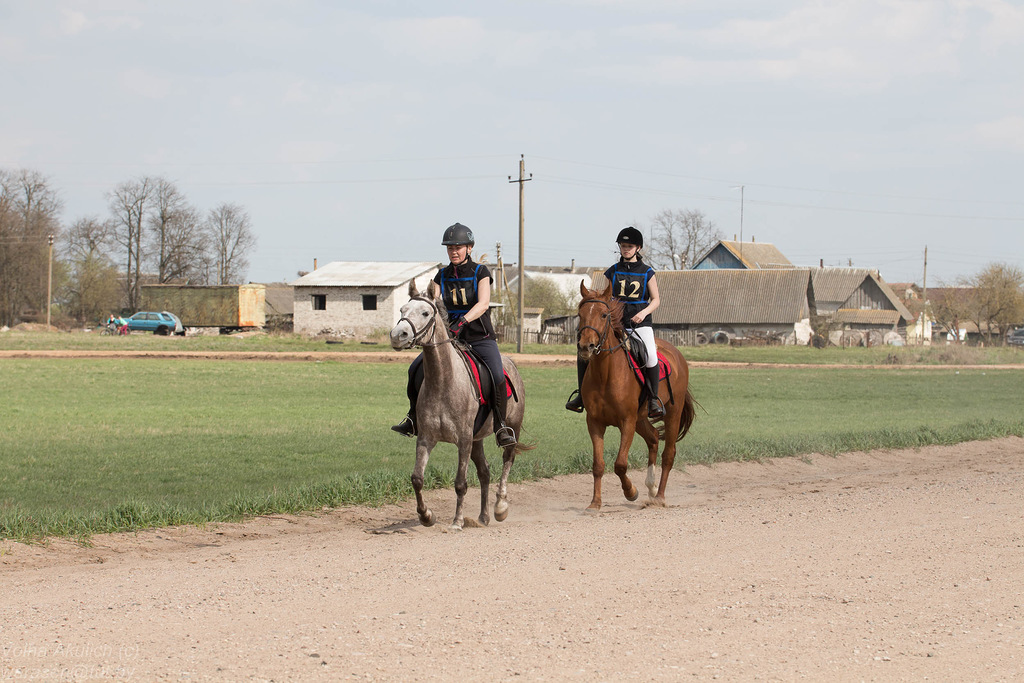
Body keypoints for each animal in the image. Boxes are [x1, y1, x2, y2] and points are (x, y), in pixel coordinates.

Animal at [385, 280, 528, 532]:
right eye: (402, 310)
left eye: (426, 313)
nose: (397, 335)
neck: (444, 380)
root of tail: (511, 363)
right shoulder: (427, 438)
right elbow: (417, 478)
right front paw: (426, 516)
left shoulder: (463, 439)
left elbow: (460, 483)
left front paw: (457, 521)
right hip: (477, 439)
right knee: (484, 472)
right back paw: (483, 517)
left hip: (511, 427)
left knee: (507, 459)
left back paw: (500, 507)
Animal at [577, 280, 696, 509]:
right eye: (580, 314)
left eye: (604, 315)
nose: (586, 346)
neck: (605, 374)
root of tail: (677, 354)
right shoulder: (595, 422)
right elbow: (598, 464)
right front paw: (595, 503)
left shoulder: (627, 422)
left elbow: (620, 464)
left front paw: (631, 492)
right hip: (641, 419)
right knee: (653, 438)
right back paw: (651, 487)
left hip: (672, 413)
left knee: (668, 454)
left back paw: (659, 496)